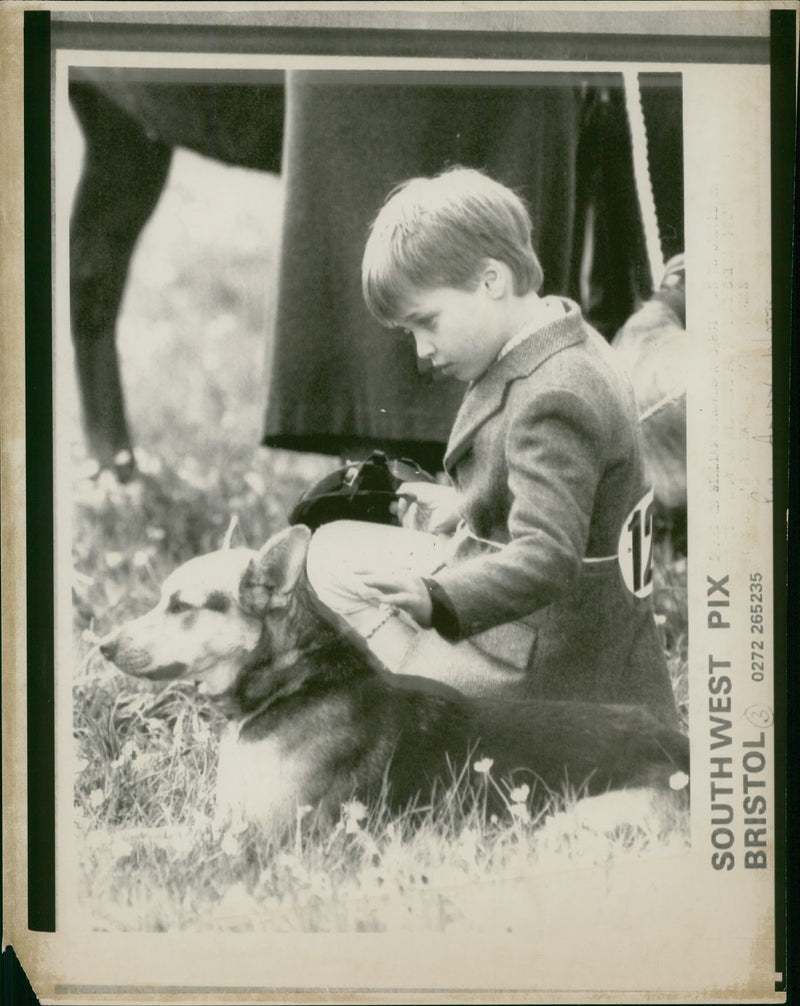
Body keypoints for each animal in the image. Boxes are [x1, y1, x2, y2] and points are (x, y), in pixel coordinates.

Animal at [100, 527, 688, 832]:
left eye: (180, 606)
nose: (102, 646)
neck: (294, 683)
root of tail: (682, 749)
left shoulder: (270, 834)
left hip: (568, 823)